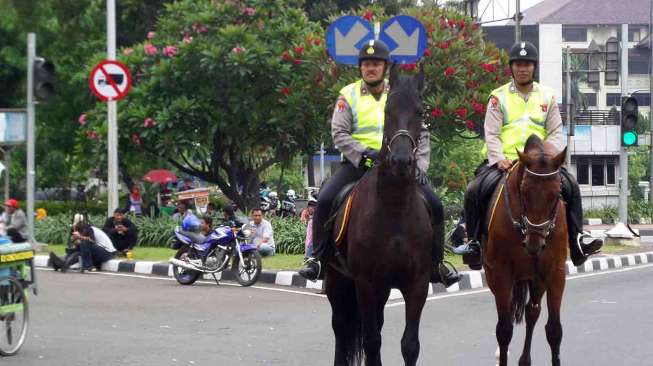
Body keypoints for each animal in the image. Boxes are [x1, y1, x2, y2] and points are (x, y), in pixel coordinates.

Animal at [324, 64, 428, 364]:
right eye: (388, 110)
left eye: (420, 112)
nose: (402, 161)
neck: (394, 210)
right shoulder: (366, 283)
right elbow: (371, 342)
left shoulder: (417, 283)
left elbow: (410, 345)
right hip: (338, 281)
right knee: (340, 328)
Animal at [482, 135, 568, 366]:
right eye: (524, 192)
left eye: (557, 193)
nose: (534, 245)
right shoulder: (501, 273)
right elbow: (504, 330)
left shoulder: (555, 273)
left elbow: (554, 330)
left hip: (536, 278)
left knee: (532, 312)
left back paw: (525, 359)